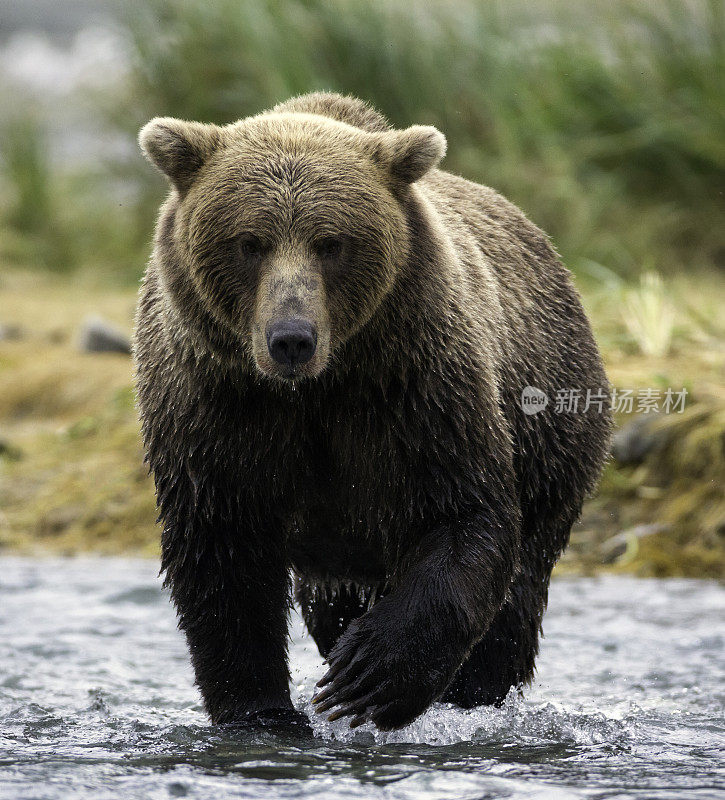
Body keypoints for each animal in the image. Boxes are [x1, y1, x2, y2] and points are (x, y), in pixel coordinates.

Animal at [133, 92, 608, 732]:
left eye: (330, 242)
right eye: (249, 242)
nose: (291, 338)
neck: (315, 391)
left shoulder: (413, 389)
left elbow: (462, 511)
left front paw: (372, 674)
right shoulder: (218, 409)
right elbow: (223, 558)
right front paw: (262, 712)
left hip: (554, 426)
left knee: (517, 596)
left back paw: (472, 693)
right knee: (329, 603)